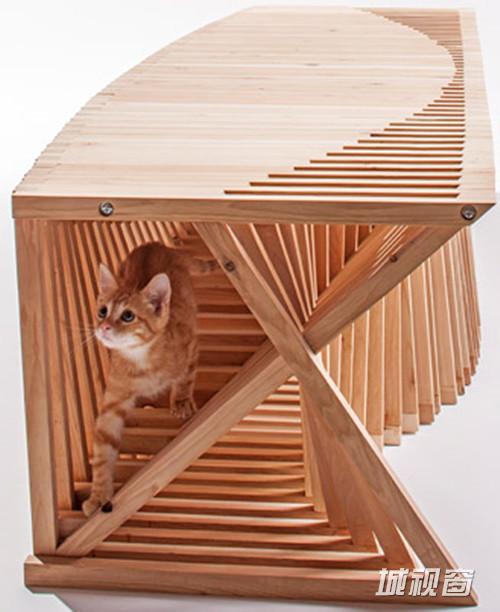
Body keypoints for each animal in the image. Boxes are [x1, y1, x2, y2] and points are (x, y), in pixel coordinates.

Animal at [82, 241, 217, 517]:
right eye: (102, 311)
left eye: (128, 316)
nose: (103, 327)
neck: (141, 360)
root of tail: (153, 244)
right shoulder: (113, 403)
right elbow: (102, 451)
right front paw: (98, 494)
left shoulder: (191, 346)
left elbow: (186, 377)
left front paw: (181, 402)